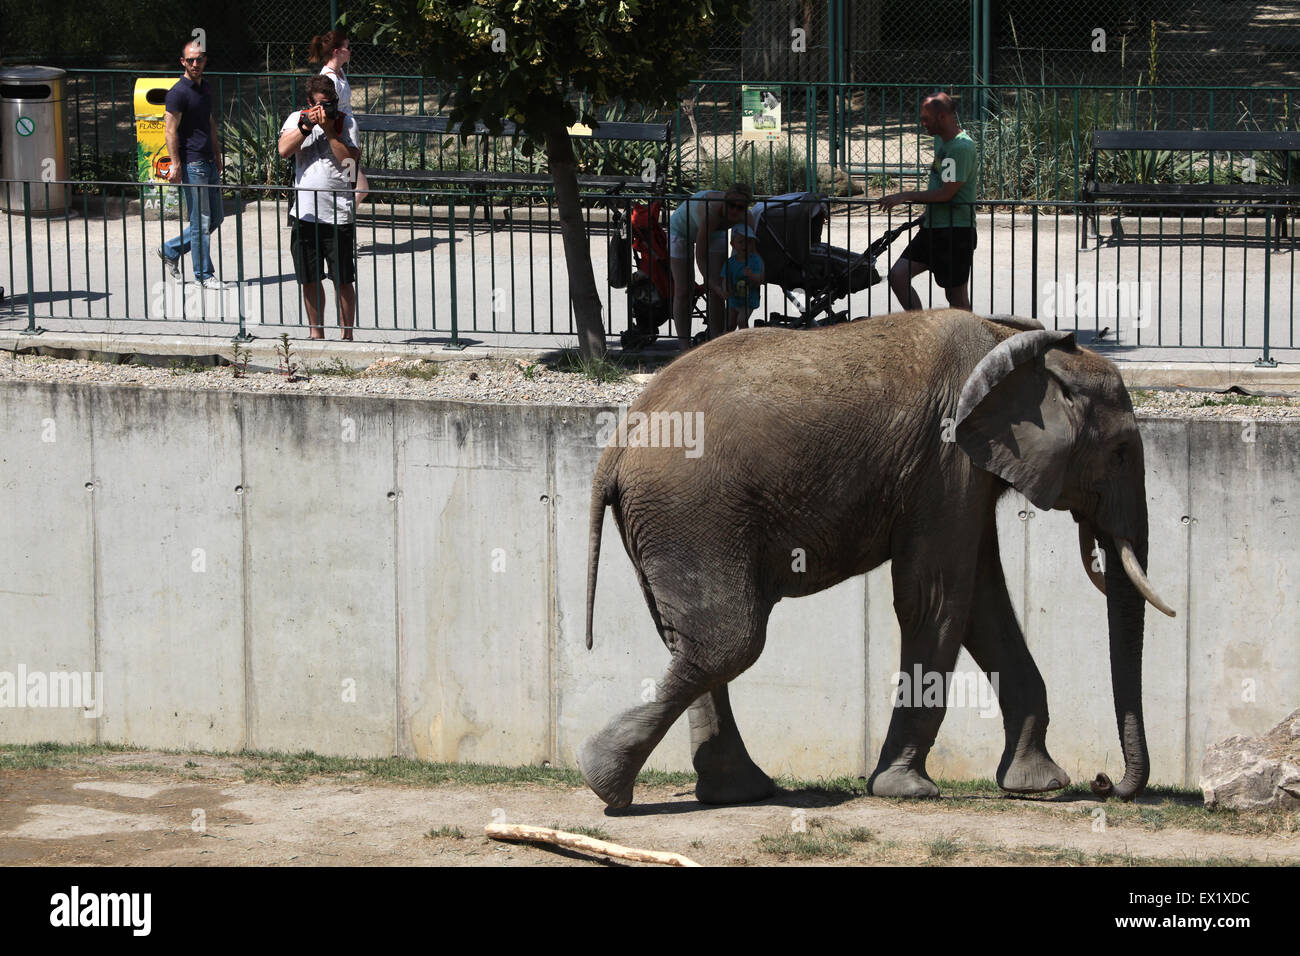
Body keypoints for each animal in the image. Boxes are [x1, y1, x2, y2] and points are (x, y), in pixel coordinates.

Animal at [579, 310, 1180, 811]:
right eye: (1121, 452)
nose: (1105, 782)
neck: (1010, 342)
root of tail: (615, 446)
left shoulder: (967, 470)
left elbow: (982, 604)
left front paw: (1038, 785)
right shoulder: (945, 458)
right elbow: (937, 599)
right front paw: (908, 790)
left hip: (666, 524)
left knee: (690, 640)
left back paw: (731, 792)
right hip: (692, 513)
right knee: (730, 640)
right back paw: (603, 781)